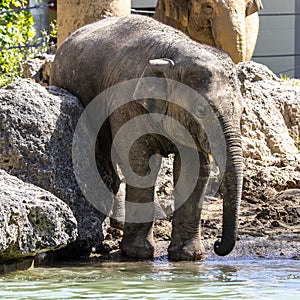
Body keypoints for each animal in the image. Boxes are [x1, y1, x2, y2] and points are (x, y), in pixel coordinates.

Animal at [51, 15, 244, 262]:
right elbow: (139, 164)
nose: (218, 245)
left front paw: (188, 257)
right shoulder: (126, 102)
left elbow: (194, 168)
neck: (173, 55)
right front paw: (138, 254)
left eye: (242, 110)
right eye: (201, 110)